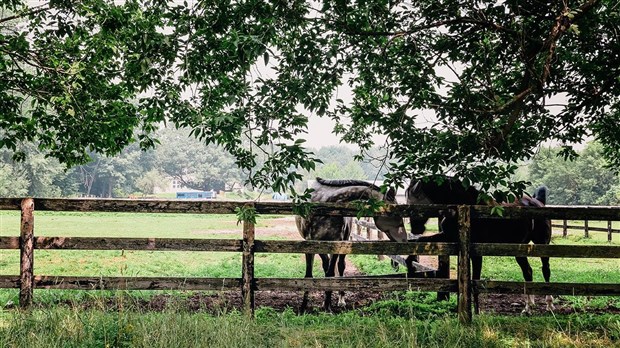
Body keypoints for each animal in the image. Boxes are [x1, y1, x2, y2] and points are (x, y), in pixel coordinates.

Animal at [296, 178, 410, 312]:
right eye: (395, 213)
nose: (404, 238)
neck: (325, 205)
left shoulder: (337, 243)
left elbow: (331, 273)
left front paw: (328, 307)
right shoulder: (310, 244)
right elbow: (309, 275)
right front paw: (303, 307)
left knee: (340, 267)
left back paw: (340, 300)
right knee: (327, 265)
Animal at [406, 175, 552, 314]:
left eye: (412, 205)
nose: (415, 229)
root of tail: (537, 202)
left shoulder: (475, 252)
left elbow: (475, 281)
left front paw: (476, 312)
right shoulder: (448, 238)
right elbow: (418, 242)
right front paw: (409, 264)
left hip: (542, 244)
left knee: (545, 270)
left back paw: (549, 305)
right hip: (519, 249)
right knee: (528, 272)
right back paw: (528, 308)